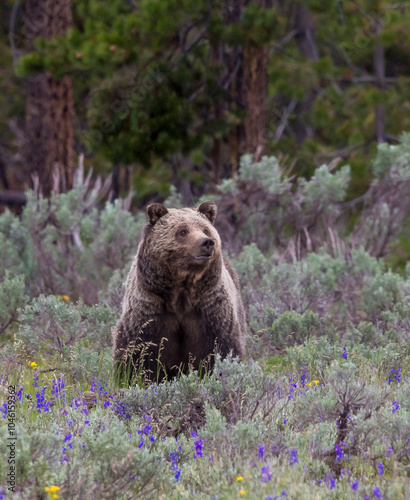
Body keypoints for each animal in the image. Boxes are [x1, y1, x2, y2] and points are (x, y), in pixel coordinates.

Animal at [113, 201, 245, 380]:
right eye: (183, 231)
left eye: (205, 229)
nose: (207, 242)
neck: (181, 291)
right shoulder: (150, 310)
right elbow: (134, 350)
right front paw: (129, 376)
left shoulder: (211, 310)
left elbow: (224, 348)